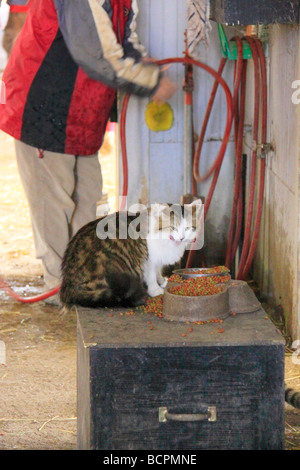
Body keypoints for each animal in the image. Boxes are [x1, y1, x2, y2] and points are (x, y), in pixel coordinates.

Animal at [59, 201, 202, 308]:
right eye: (173, 228)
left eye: (188, 228)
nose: (182, 237)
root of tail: (68, 286)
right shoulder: (148, 260)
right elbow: (151, 276)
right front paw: (156, 290)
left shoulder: (157, 261)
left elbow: (158, 272)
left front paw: (162, 281)